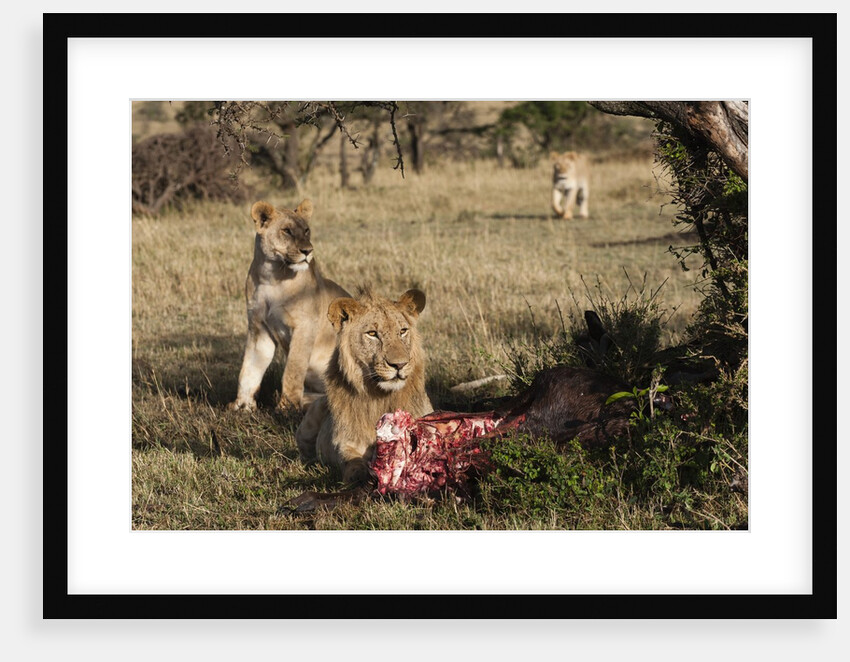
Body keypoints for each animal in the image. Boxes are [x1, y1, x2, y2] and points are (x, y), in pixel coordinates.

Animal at [229, 199, 350, 412]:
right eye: (287, 231)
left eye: (307, 230)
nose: (308, 251)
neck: (272, 277)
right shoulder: (259, 328)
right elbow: (249, 369)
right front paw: (242, 406)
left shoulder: (305, 326)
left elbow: (293, 369)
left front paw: (287, 407)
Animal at [295, 288, 434, 485]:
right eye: (372, 333)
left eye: (403, 331)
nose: (399, 364)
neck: (380, 397)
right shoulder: (345, 441)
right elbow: (351, 460)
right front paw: (359, 475)